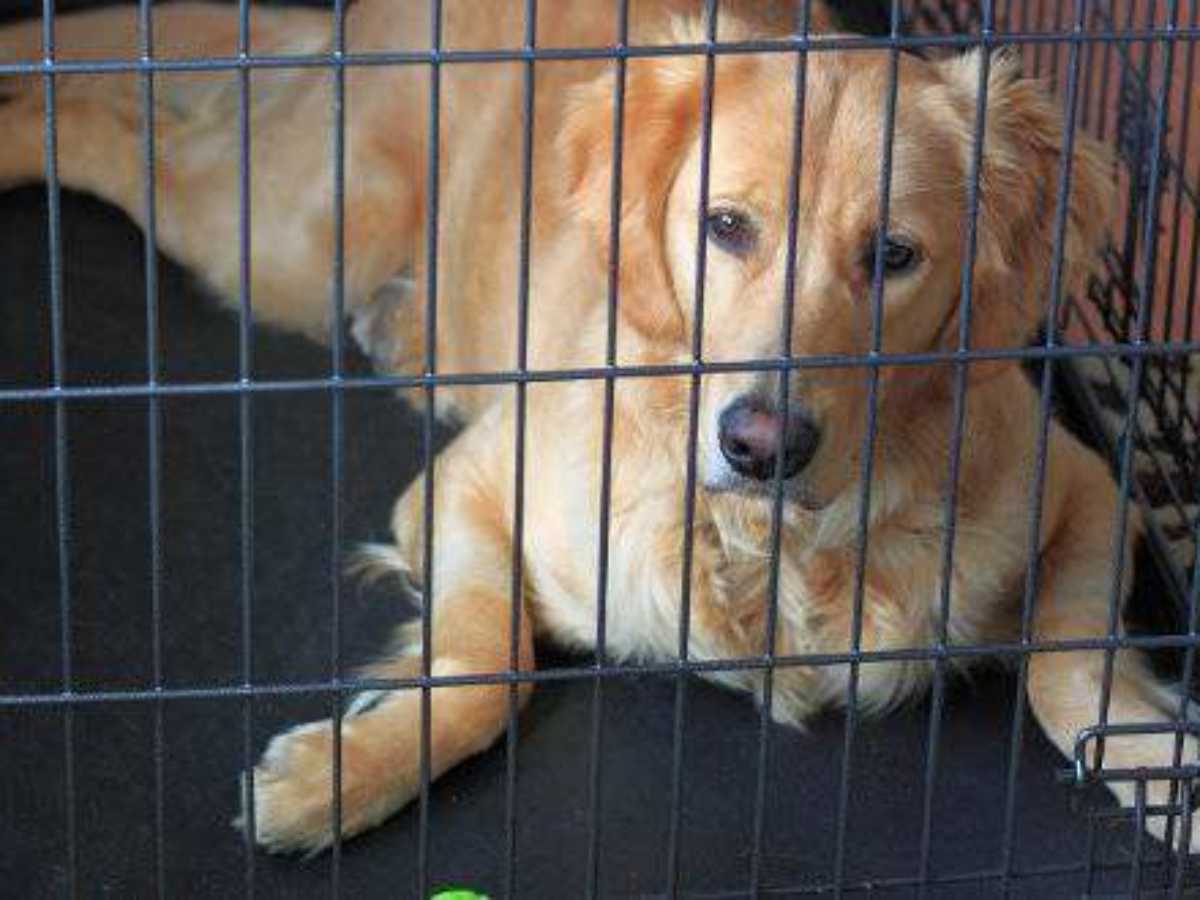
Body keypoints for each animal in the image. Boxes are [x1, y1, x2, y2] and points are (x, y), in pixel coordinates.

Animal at [4, 1, 1195, 859]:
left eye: (894, 255)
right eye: (726, 225)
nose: (761, 444)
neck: (773, 552)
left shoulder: (1088, 491)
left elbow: (1068, 666)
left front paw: (1157, 760)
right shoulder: (470, 483)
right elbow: (484, 662)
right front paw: (342, 776)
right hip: (288, 241)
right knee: (111, 130)